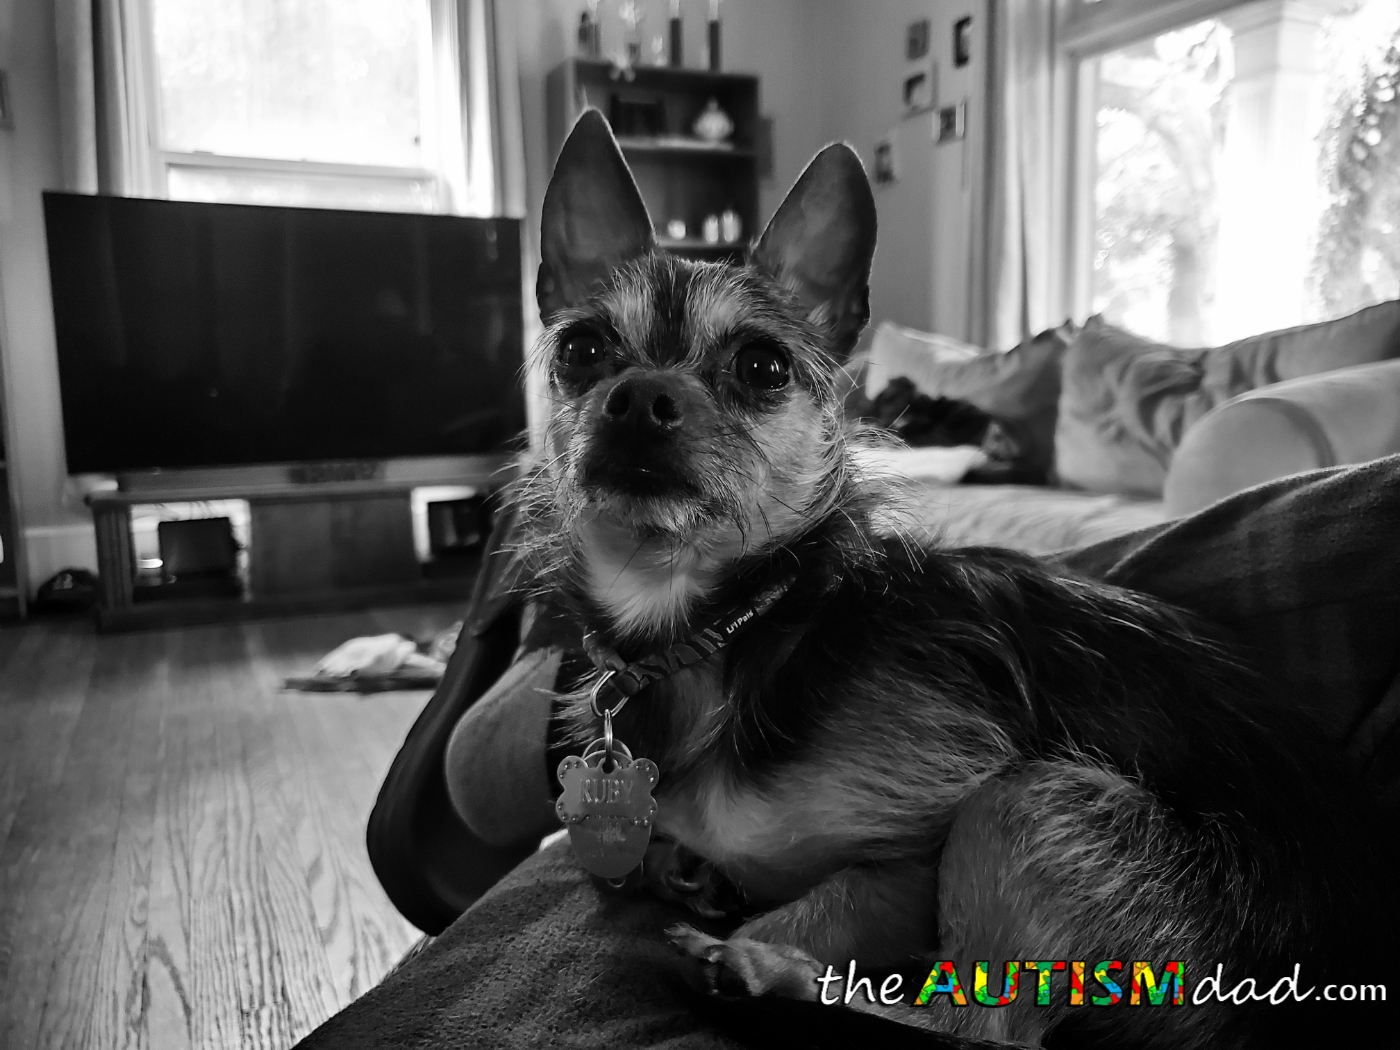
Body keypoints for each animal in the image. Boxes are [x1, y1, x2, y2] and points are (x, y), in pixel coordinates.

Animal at [514, 110, 1381, 1048]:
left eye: (762, 367)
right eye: (582, 348)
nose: (638, 399)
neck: (730, 625)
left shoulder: (912, 859)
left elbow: (817, 908)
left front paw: (751, 946)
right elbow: (652, 861)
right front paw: (685, 875)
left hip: (1027, 804)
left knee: (981, 1026)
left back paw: (765, 977)